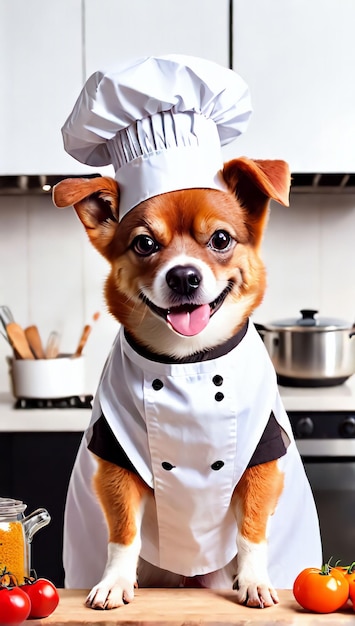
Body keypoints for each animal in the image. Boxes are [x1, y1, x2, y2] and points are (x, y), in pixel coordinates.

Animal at [52, 154, 312, 608]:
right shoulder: (116, 463)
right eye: (144, 244)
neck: (189, 366)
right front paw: (115, 581)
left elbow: (251, 532)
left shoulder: (261, 462)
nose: (184, 276)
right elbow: (123, 534)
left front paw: (254, 580)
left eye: (221, 239)